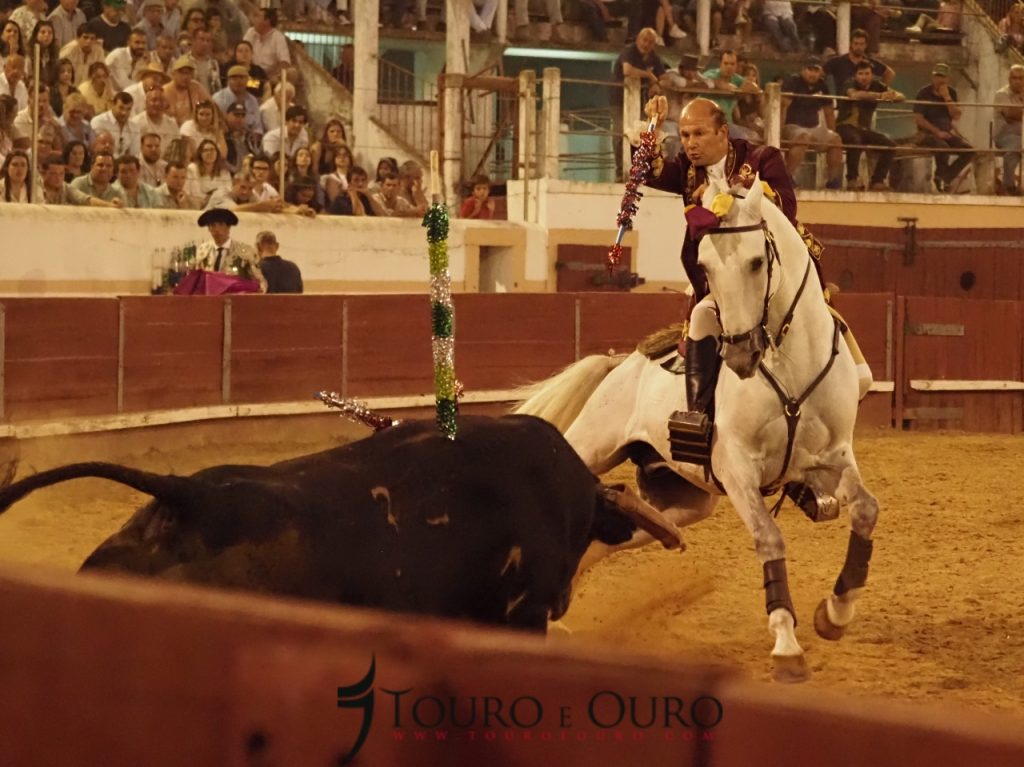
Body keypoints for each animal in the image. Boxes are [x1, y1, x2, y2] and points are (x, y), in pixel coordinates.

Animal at [515, 177, 880, 682]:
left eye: (757, 260)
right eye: (704, 263)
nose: (741, 355)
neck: (790, 364)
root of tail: (618, 365)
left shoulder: (834, 457)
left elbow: (866, 511)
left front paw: (834, 614)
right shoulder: (737, 468)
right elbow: (769, 538)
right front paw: (787, 646)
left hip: (688, 499)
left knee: (620, 531)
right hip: (591, 445)